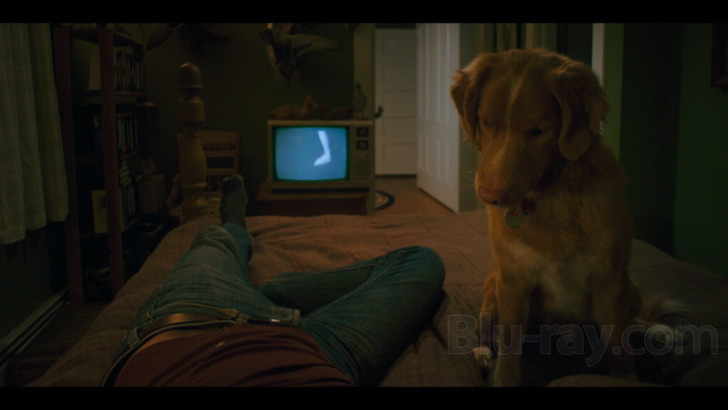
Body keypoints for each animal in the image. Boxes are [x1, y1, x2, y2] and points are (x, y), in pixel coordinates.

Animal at [450, 49, 670, 386]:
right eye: (486, 122)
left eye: (538, 131)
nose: (489, 196)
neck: (550, 199)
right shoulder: (513, 280)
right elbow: (509, 351)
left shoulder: (609, 282)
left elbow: (619, 347)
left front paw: (626, 375)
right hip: (494, 285)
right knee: (486, 323)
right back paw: (484, 351)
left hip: (628, 286)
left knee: (632, 322)